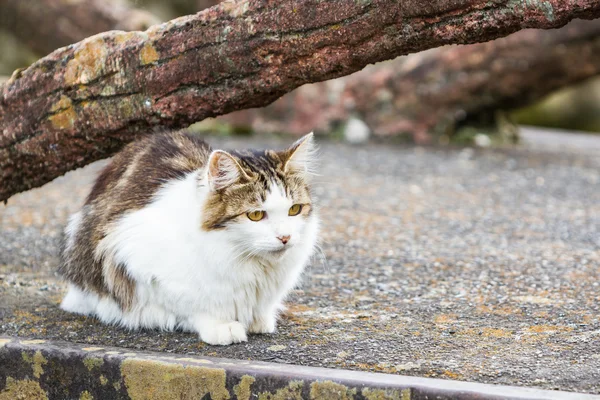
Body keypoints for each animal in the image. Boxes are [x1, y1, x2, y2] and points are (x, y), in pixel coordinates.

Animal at [58, 130, 318, 344]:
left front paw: (259, 320)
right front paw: (222, 326)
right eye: (255, 215)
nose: (285, 237)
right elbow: (192, 305)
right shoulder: (127, 253)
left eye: (294, 209)